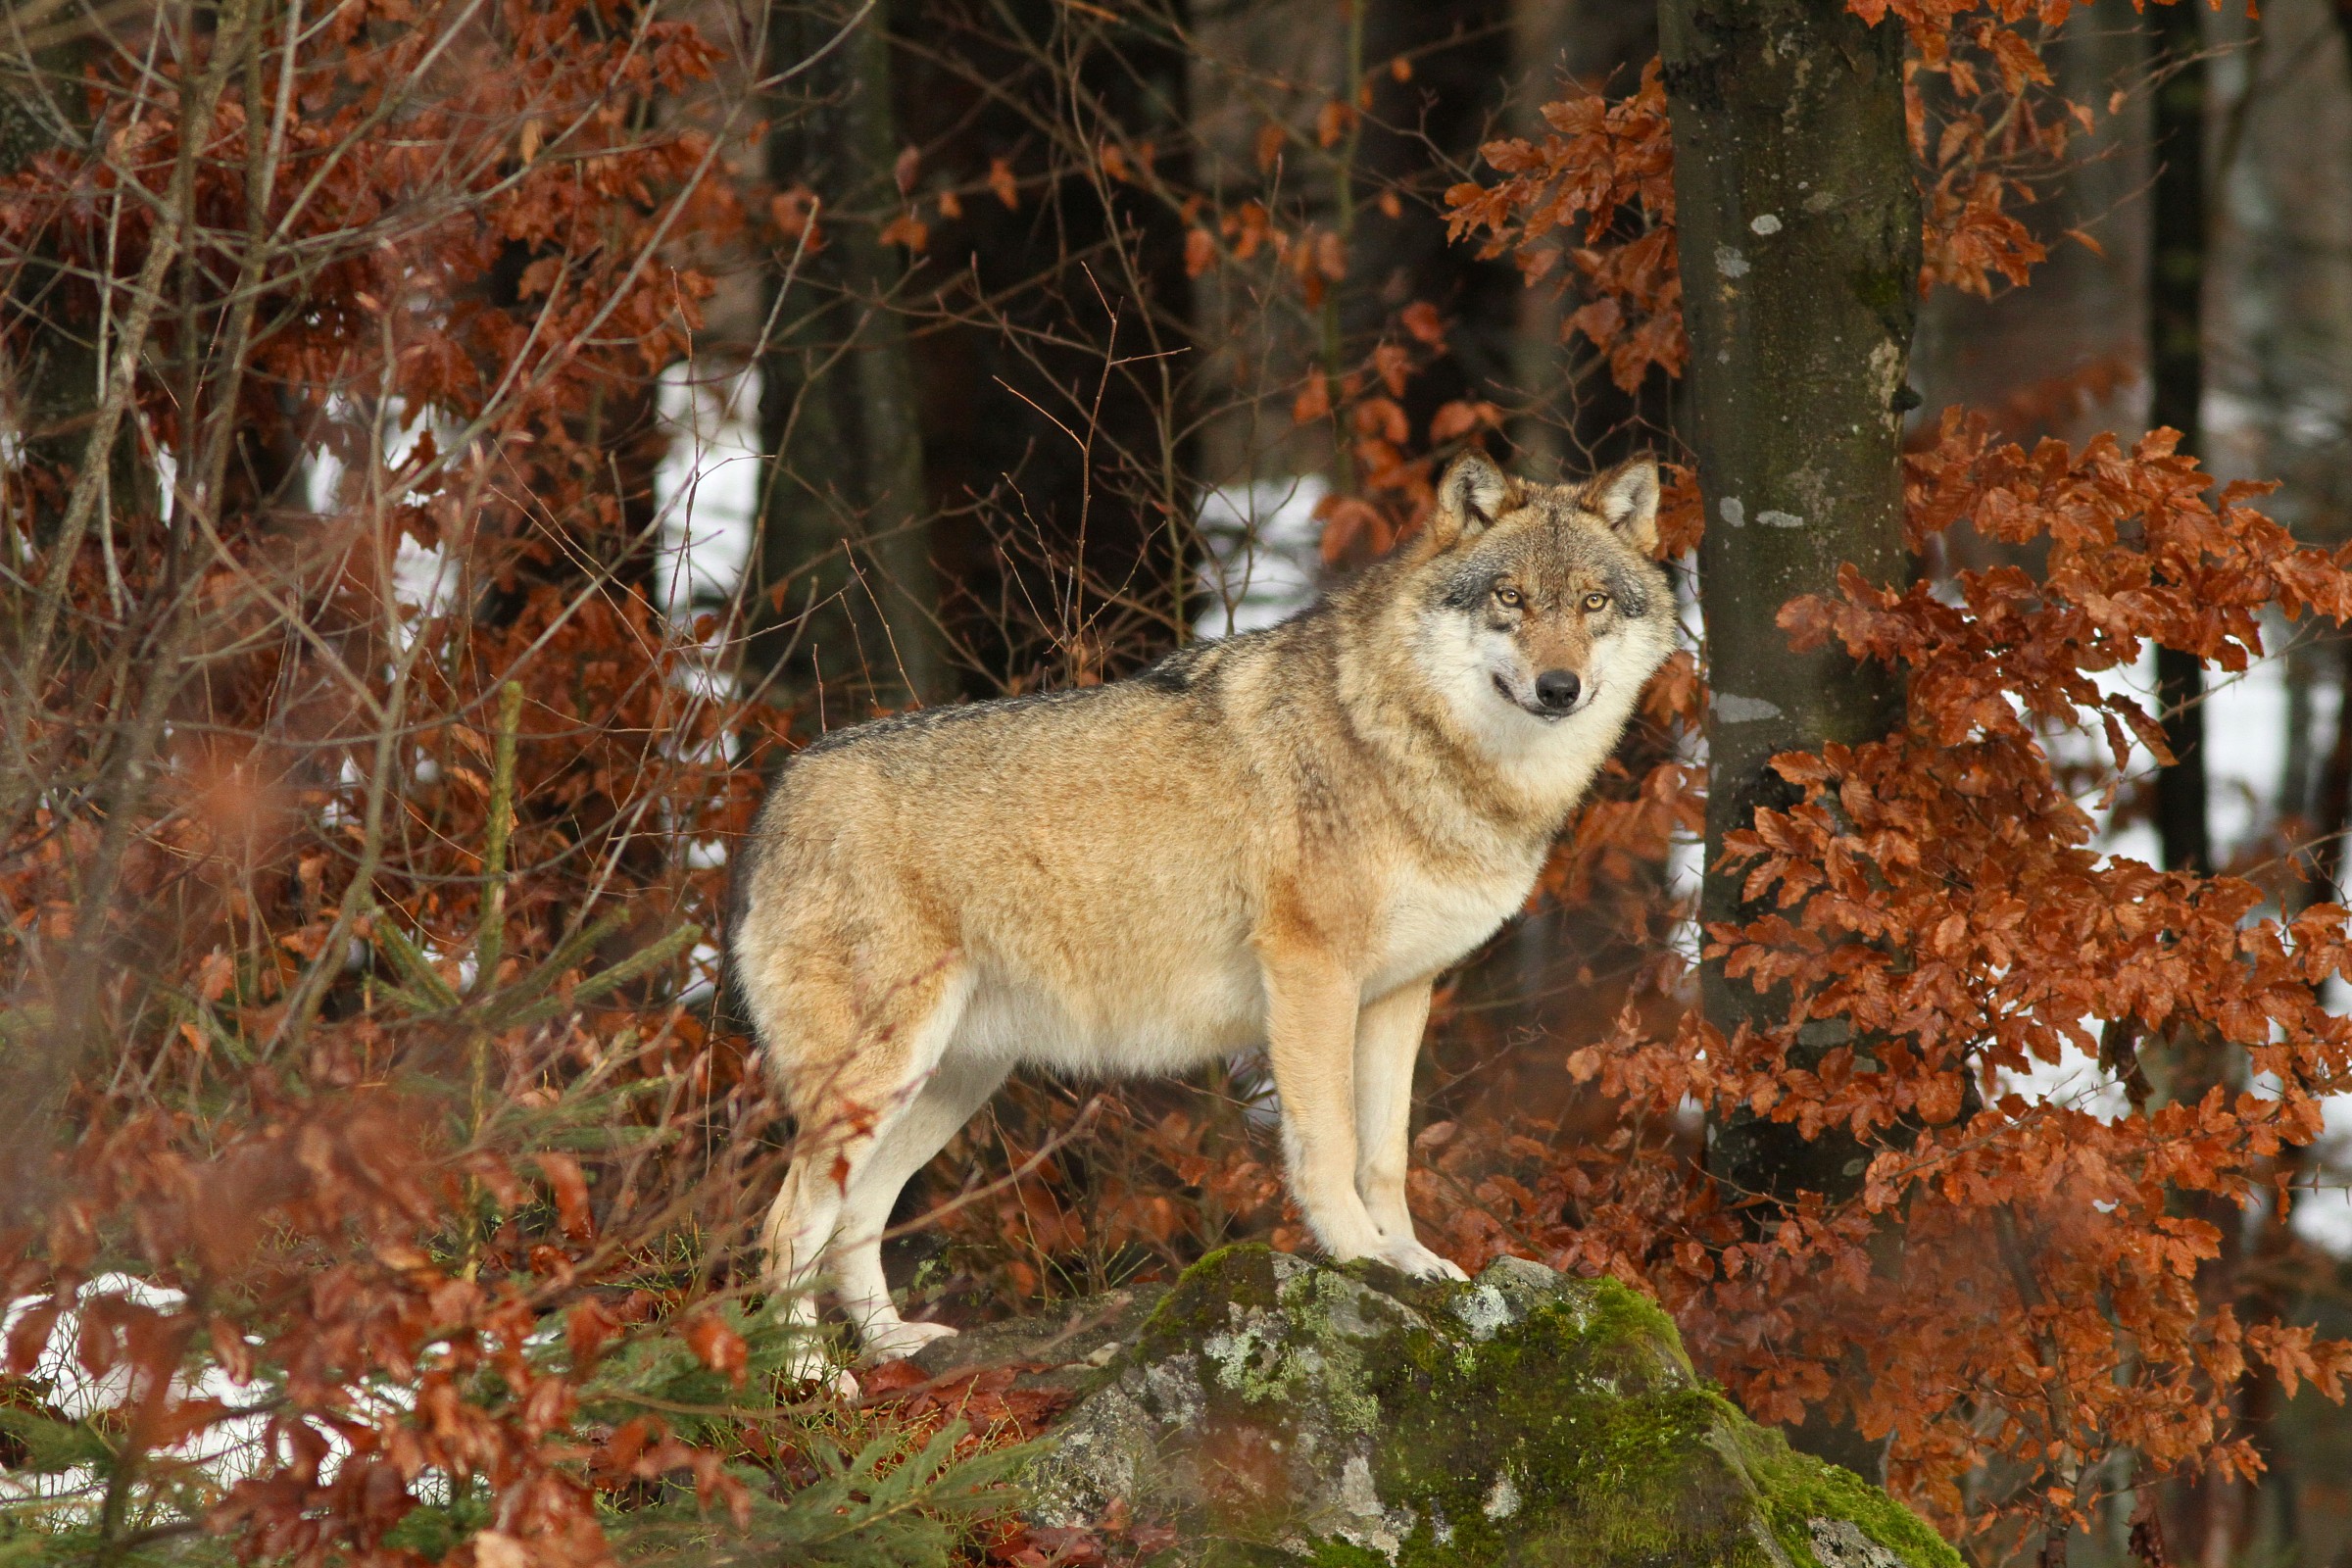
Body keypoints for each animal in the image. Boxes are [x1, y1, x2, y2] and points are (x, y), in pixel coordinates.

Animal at [730, 451, 1676, 1363]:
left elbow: (1387, 1155)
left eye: (1592, 602)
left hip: (944, 1086)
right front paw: (1358, 1257)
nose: (1559, 687)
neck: (1418, 744)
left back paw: (892, 1345)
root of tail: (782, 791)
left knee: (857, 1221)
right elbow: (1330, 1144)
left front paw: (1411, 1261)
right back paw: (813, 1377)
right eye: (1510, 598)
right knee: (784, 1227)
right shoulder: (1311, 974)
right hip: (880, 1078)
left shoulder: (1401, 995)